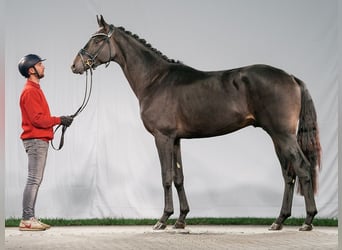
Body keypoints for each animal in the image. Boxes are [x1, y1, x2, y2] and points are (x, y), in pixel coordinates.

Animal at [71, 15, 322, 230]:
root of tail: (291, 77)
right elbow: (179, 177)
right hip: (277, 137)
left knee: (302, 168)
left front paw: (163, 220)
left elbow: (166, 177)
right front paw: (181, 219)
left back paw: (307, 221)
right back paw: (279, 221)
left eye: (97, 39)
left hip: (282, 135)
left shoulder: (162, 137)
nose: (75, 65)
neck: (155, 80)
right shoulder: (175, 139)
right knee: (289, 174)